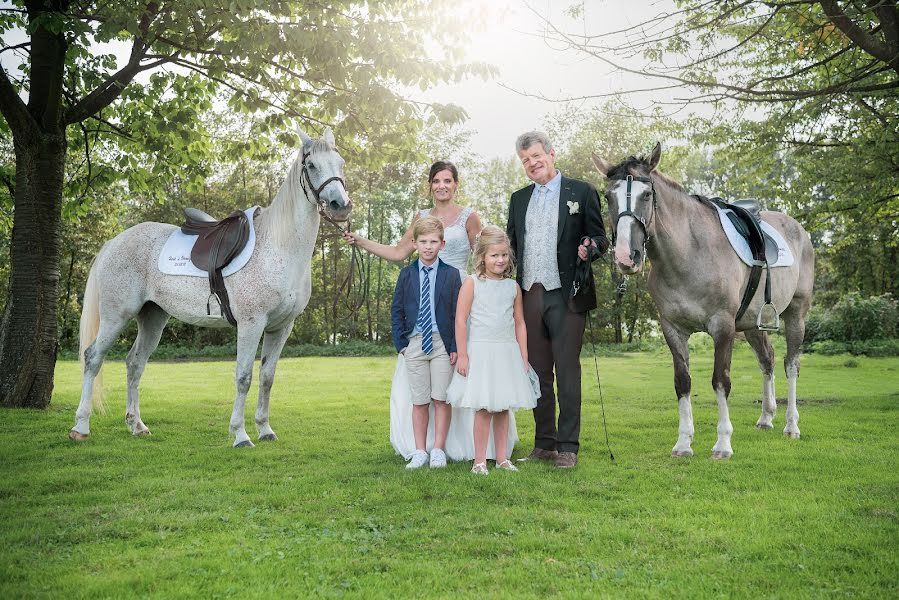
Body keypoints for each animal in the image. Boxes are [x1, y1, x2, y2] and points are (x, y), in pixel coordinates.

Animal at [69, 127, 352, 446]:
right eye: (311, 165)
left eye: (341, 163)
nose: (341, 206)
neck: (279, 247)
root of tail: (114, 242)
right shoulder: (252, 324)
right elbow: (244, 377)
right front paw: (240, 434)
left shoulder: (281, 327)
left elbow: (267, 377)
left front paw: (265, 429)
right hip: (116, 316)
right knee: (93, 358)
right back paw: (81, 427)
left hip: (152, 317)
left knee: (135, 363)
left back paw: (137, 425)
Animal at [592, 145, 816, 460]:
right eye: (608, 196)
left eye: (646, 195)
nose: (627, 257)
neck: (689, 252)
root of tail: (799, 230)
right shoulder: (672, 329)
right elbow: (683, 382)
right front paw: (684, 442)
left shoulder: (722, 327)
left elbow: (720, 381)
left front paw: (722, 443)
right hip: (752, 325)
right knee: (767, 360)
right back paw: (766, 417)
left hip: (796, 315)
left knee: (791, 365)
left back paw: (791, 425)